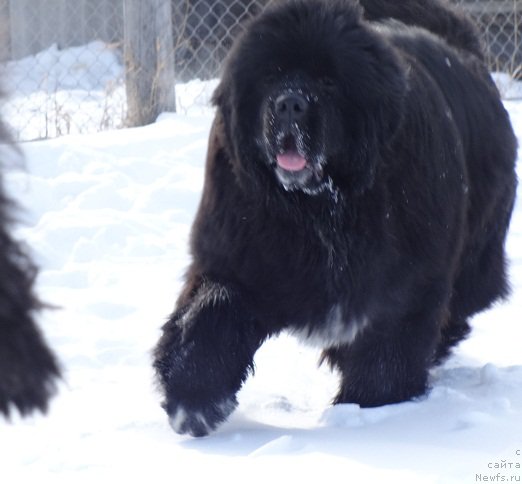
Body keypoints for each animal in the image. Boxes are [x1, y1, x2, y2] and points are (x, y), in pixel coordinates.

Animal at [151, 0, 516, 438]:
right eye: (271, 76)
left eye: (329, 82)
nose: (290, 102)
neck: (318, 207)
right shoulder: (239, 252)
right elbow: (211, 312)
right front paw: (192, 400)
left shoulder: (406, 281)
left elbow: (389, 342)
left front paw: (369, 404)